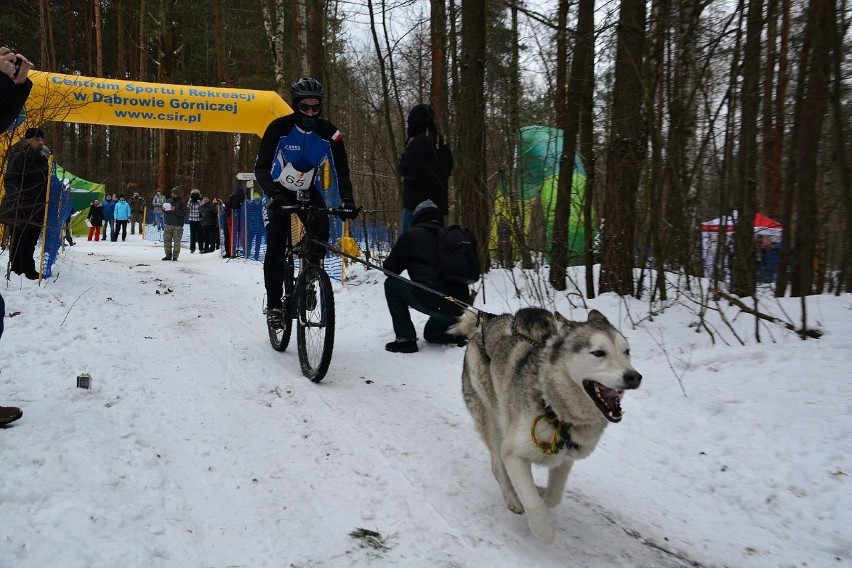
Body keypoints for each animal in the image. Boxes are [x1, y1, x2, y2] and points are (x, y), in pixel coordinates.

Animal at [452, 308, 640, 544]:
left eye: (626, 352)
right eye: (599, 353)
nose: (634, 377)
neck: (555, 410)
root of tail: (484, 324)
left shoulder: (565, 458)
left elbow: (553, 496)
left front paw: (540, 491)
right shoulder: (513, 452)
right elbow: (532, 502)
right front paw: (543, 529)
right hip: (492, 419)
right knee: (497, 465)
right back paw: (513, 498)